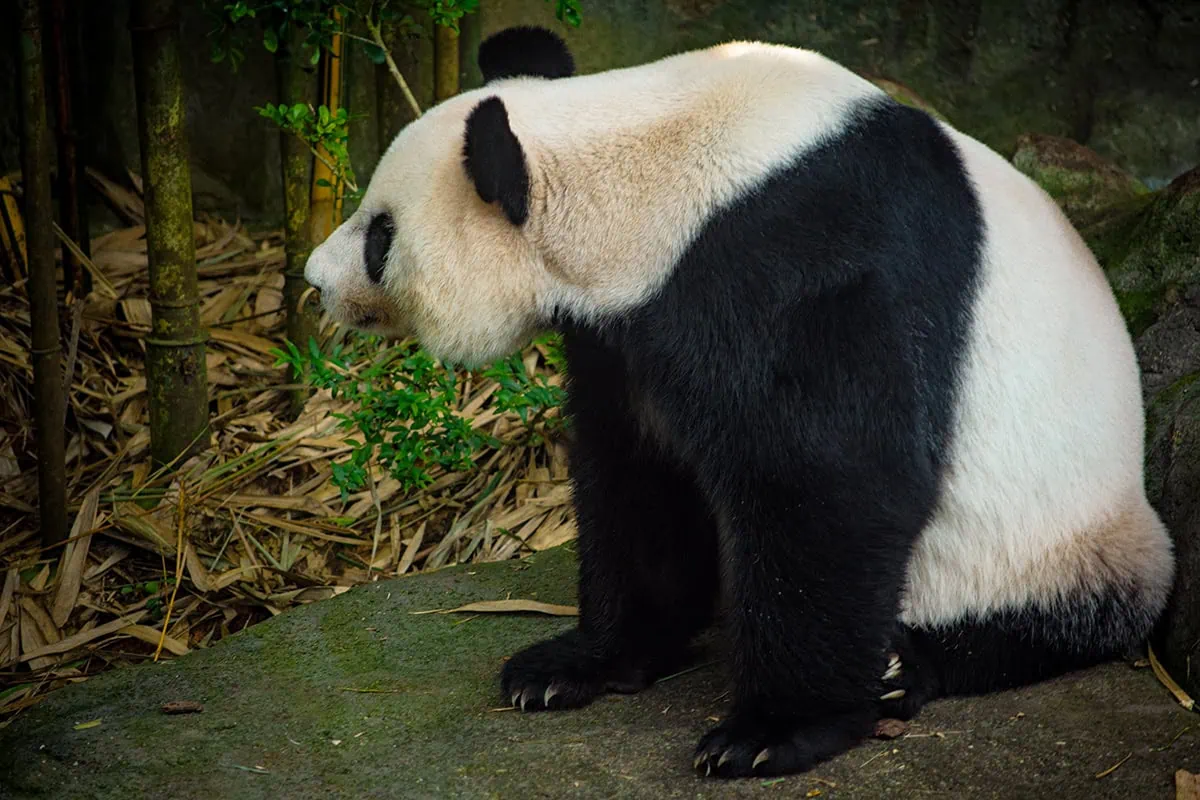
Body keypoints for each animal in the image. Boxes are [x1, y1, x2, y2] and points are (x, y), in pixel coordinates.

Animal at [304, 25, 1175, 779]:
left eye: (379, 235)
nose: (314, 279)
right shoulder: (634, 325)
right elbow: (637, 473)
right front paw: (577, 662)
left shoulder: (805, 259)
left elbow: (836, 481)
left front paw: (770, 732)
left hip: (1068, 537)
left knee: (1055, 613)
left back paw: (906, 667)